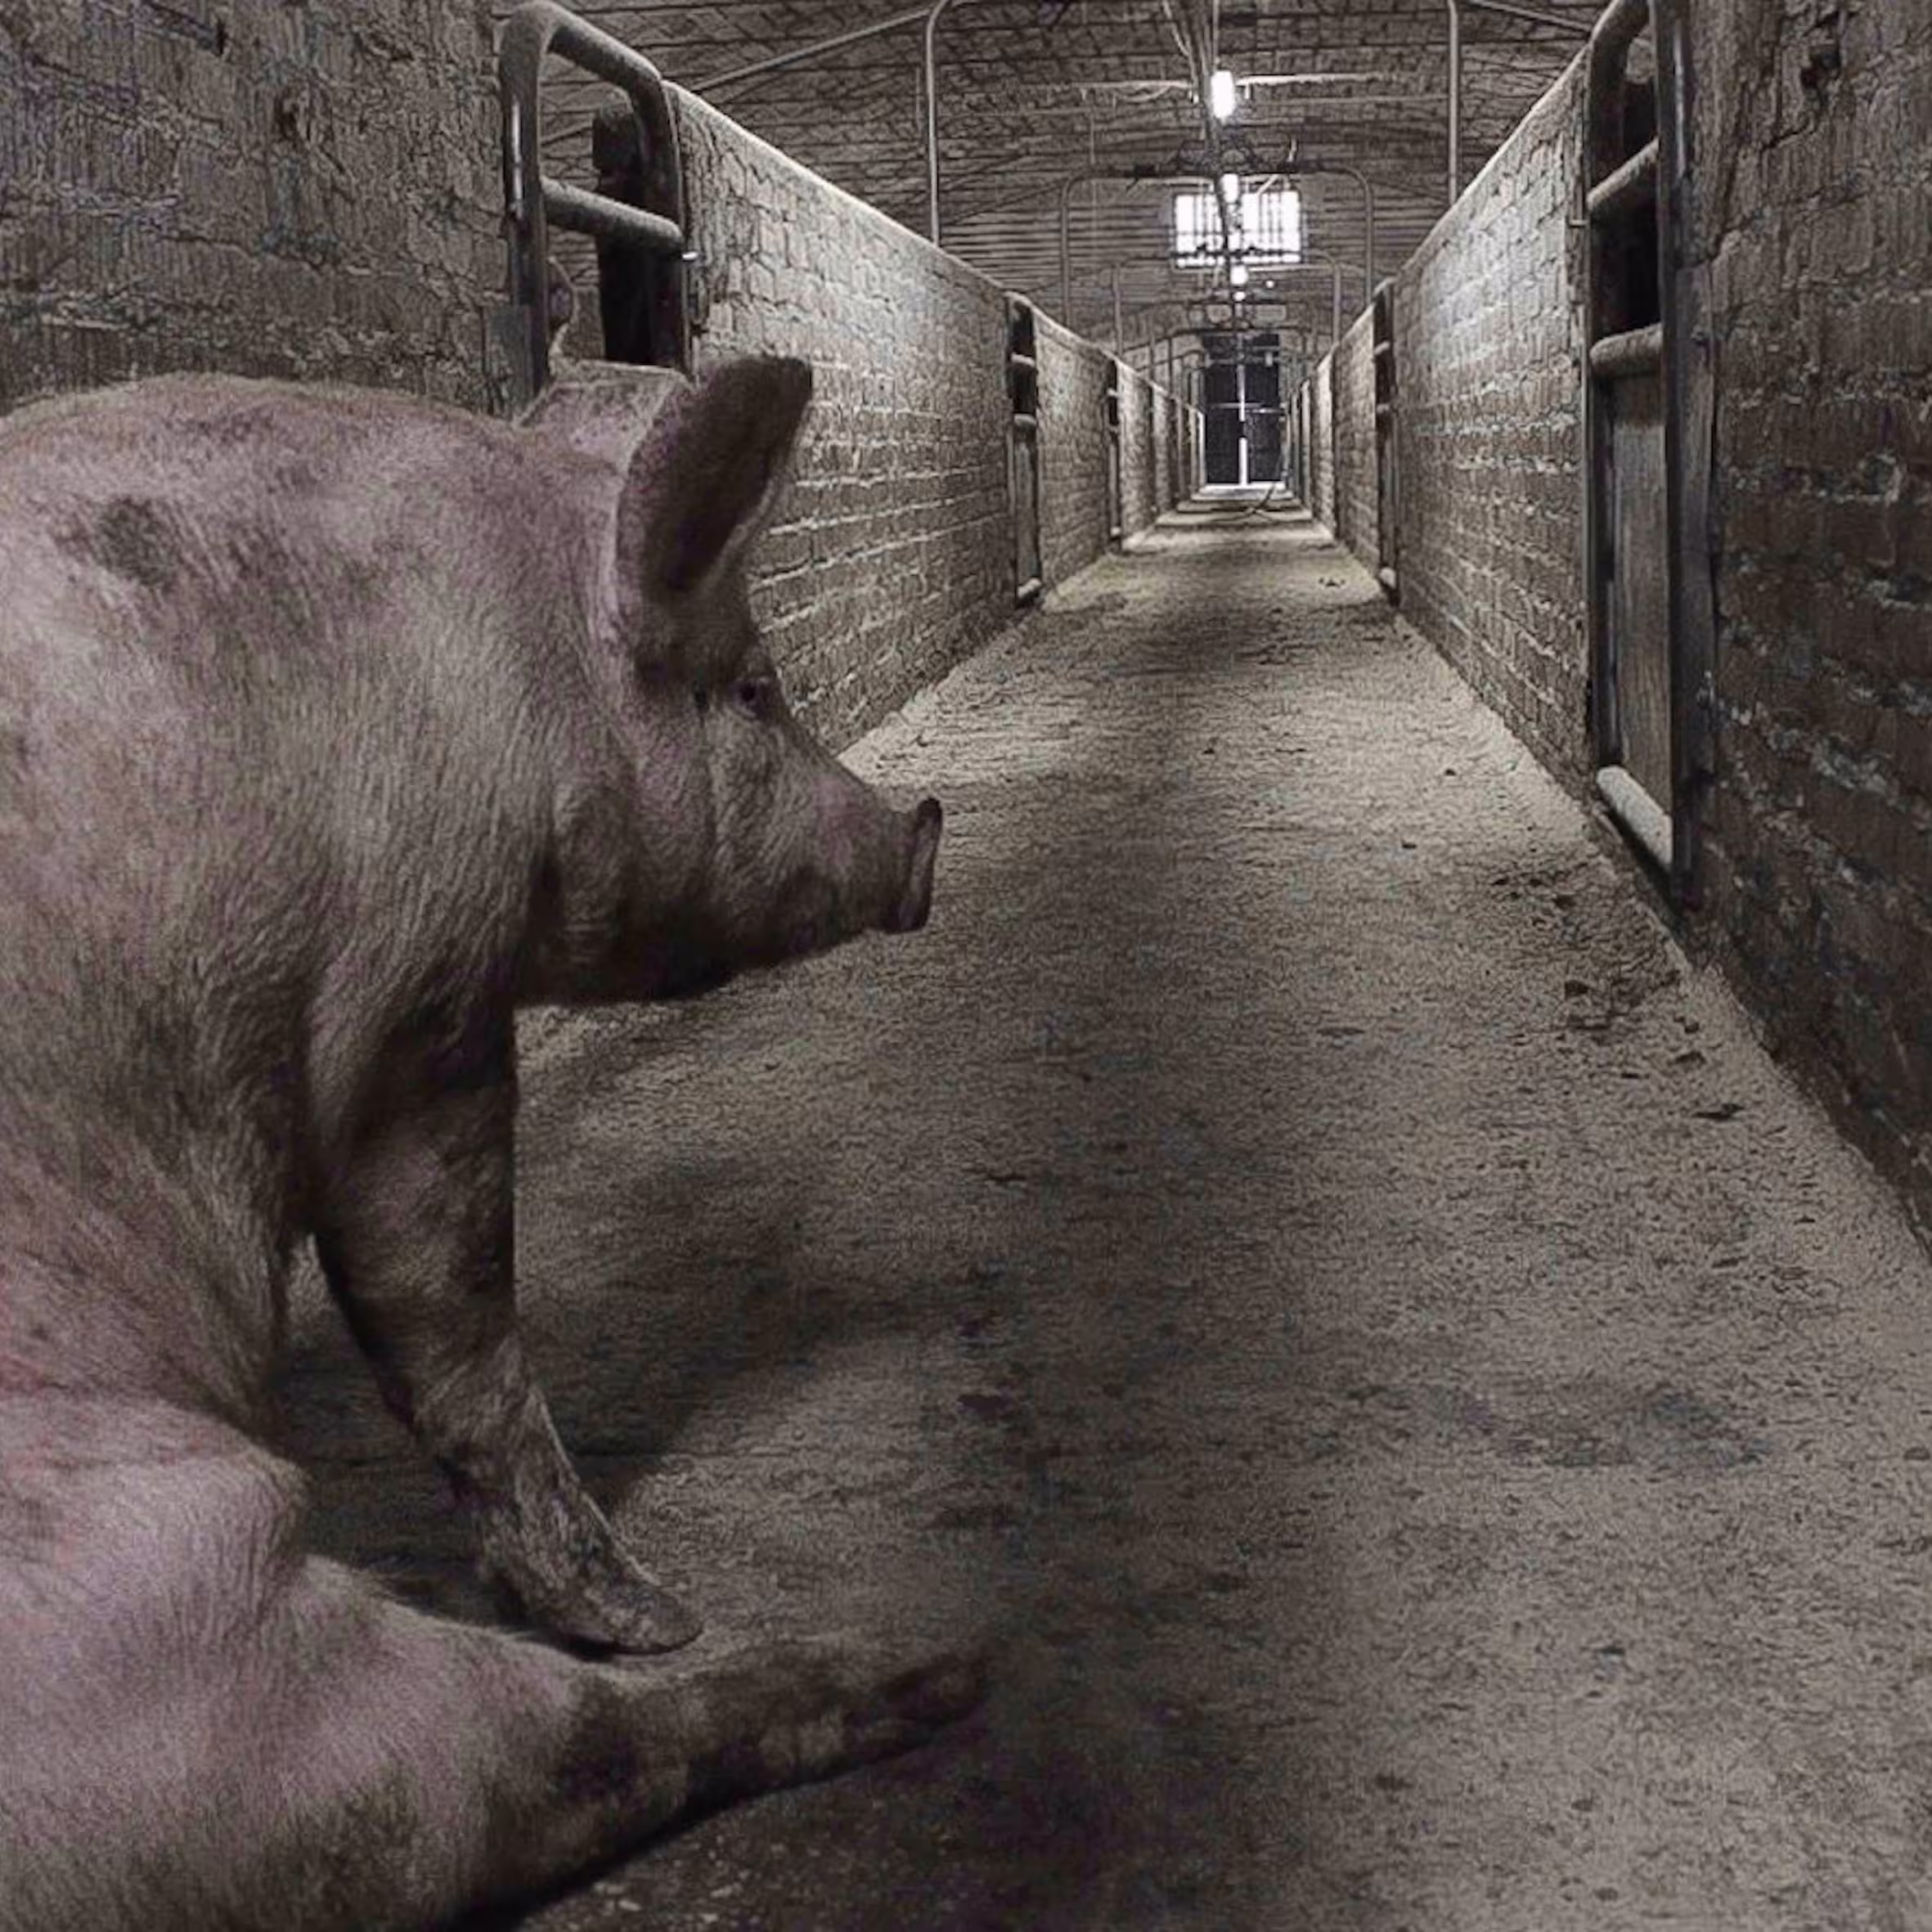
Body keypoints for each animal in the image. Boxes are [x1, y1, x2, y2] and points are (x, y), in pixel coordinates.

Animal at [0, 354, 971, 1930]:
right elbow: (448, 1304)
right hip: (180, 1619)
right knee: (528, 1765)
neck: (540, 669)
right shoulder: (424, 994)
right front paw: (637, 1608)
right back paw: (910, 1661)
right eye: (755, 690)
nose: (925, 834)